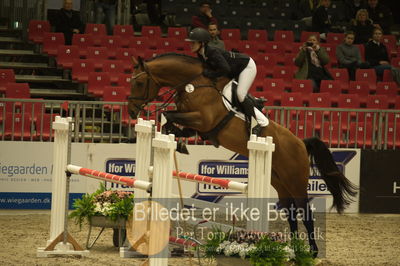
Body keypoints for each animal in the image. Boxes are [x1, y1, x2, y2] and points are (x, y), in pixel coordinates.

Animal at [127, 52, 356, 256]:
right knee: (290, 211)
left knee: (305, 212)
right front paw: (175, 140)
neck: (194, 83)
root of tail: (301, 142)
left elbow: (169, 114)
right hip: (279, 181)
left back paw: (312, 252)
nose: (131, 111)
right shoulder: (198, 126)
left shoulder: (203, 119)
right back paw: (294, 250)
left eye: (139, 83)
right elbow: (172, 120)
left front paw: (175, 140)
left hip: (295, 180)